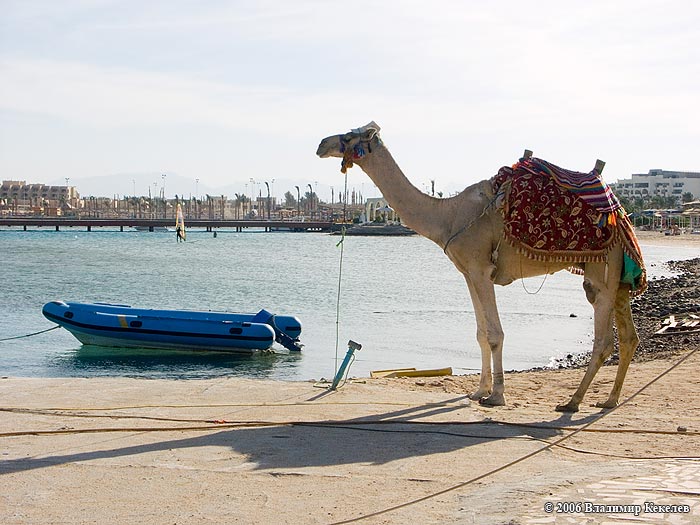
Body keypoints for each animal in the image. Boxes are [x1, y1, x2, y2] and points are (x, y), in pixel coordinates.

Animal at [316, 121, 640, 412]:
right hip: (619, 277)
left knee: (604, 340)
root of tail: (622, 215)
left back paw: (572, 402)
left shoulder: (481, 269)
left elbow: (495, 334)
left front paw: (496, 396)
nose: (321, 144)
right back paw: (608, 400)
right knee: (628, 337)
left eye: (348, 135)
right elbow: (481, 334)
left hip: (603, 269)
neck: (448, 216)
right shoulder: (468, 273)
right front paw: (478, 391)